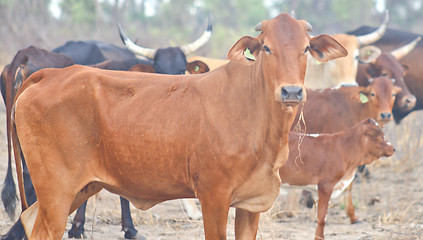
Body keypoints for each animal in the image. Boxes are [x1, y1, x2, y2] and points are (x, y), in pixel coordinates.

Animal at [4, 14, 348, 239]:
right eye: (266, 48)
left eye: (305, 49)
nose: (291, 92)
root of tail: (49, 74)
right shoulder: (213, 197)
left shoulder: (250, 206)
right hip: (56, 193)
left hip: (77, 189)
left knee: (28, 220)